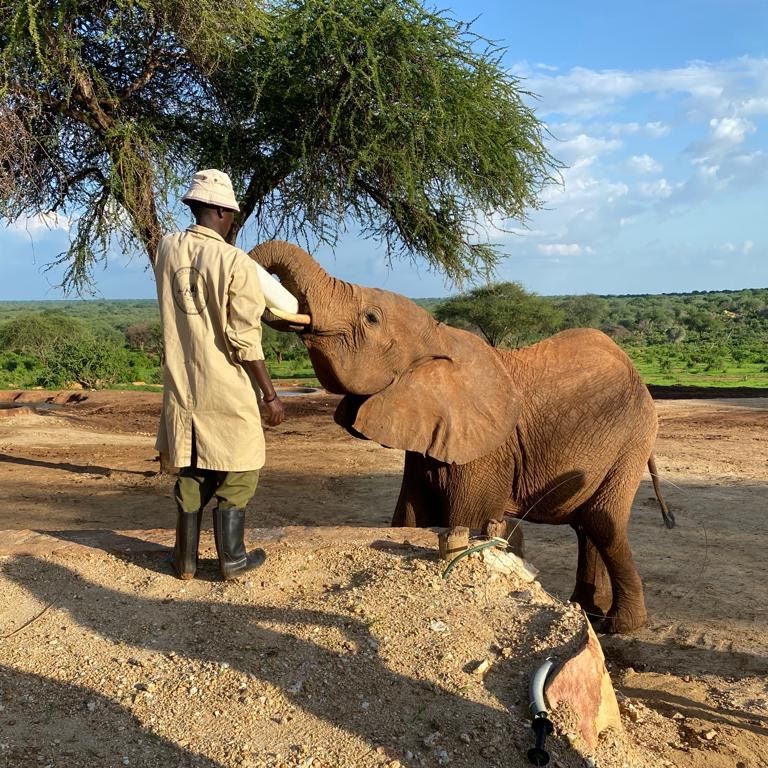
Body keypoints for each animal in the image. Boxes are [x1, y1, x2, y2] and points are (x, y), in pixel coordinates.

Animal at [250, 242, 672, 636]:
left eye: (371, 318)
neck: (442, 339)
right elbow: (407, 518)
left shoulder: (486, 450)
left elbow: (464, 519)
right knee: (586, 524)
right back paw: (587, 611)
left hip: (634, 436)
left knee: (602, 520)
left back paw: (620, 626)